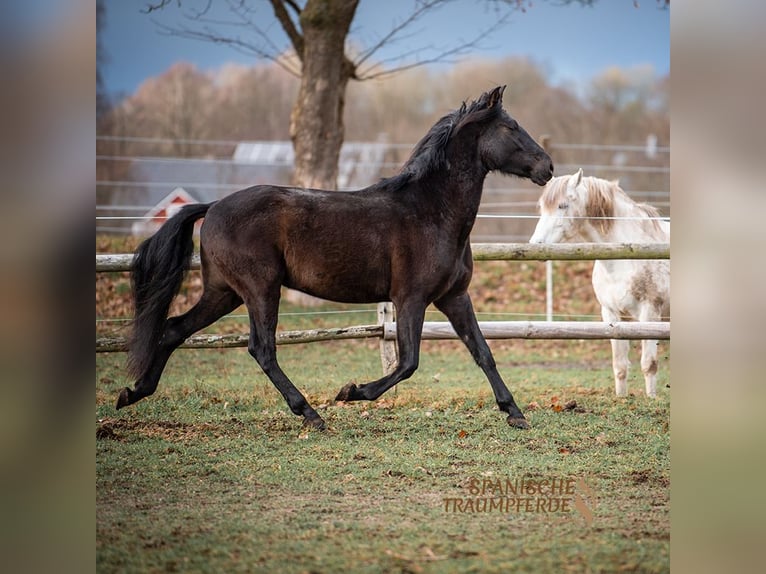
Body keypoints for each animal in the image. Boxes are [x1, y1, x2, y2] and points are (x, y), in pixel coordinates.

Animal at [117, 86, 552, 432]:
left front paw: (515, 413)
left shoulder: (454, 297)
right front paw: (350, 391)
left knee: (174, 328)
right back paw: (310, 413)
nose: (547, 167)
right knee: (262, 348)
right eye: (511, 128)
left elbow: (483, 352)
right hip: (260, 289)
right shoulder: (410, 298)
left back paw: (133, 393)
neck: (432, 212)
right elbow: (408, 362)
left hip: (223, 292)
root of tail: (213, 207)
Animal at [532, 169, 668, 398]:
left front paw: (651, 399)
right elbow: (619, 365)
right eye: (542, 206)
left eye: (563, 205)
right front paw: (621, 398)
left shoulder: (650, 313)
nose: (535, 245)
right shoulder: (612, 314)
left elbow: (649, 365)